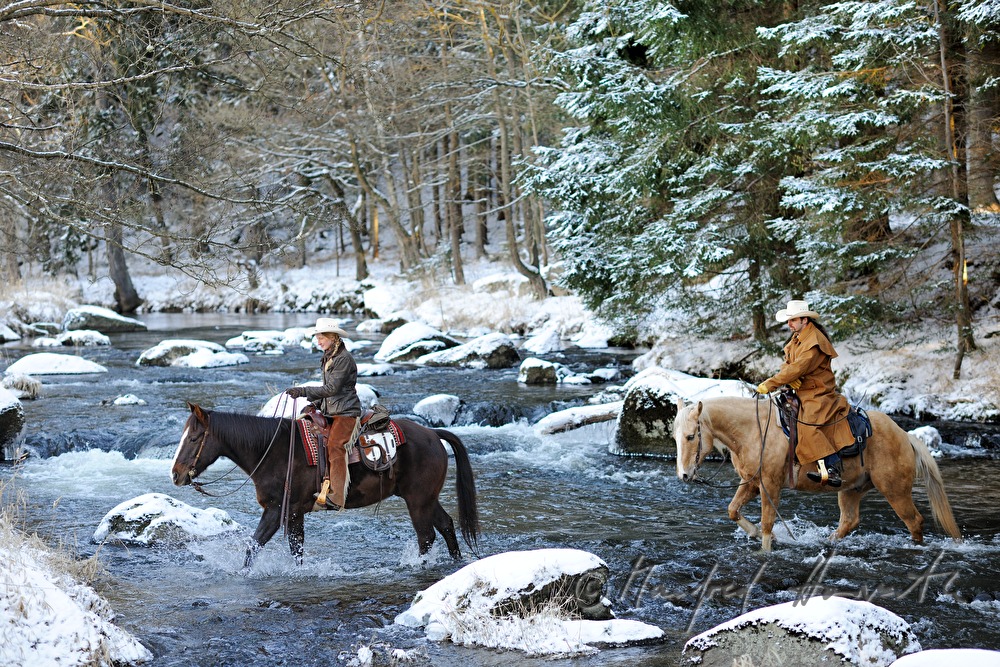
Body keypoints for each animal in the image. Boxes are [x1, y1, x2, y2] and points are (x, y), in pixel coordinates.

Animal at [172, 404, 480, 572]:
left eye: (194, 438)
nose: (176, 475)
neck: (275, 452)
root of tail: (433, 434)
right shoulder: (294, 513)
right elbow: (296, 548)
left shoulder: (276, 510)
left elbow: (253, 545)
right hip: (426, 499)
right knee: (446, 525)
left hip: (417, 501)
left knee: (426, 535)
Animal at [672, 400, 960, 552]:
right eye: (675, 437)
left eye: (691, 436)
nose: (684, 475)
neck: (753, 430)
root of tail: (904, 435)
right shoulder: (752, 483)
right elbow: (733, 510)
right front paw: (762, 536)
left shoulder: (770, 485)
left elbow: (767, 522)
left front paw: (766, 548)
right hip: (851, 489)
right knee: (849, 521)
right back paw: (828, 542)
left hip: (894, 491)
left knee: (914, 522)